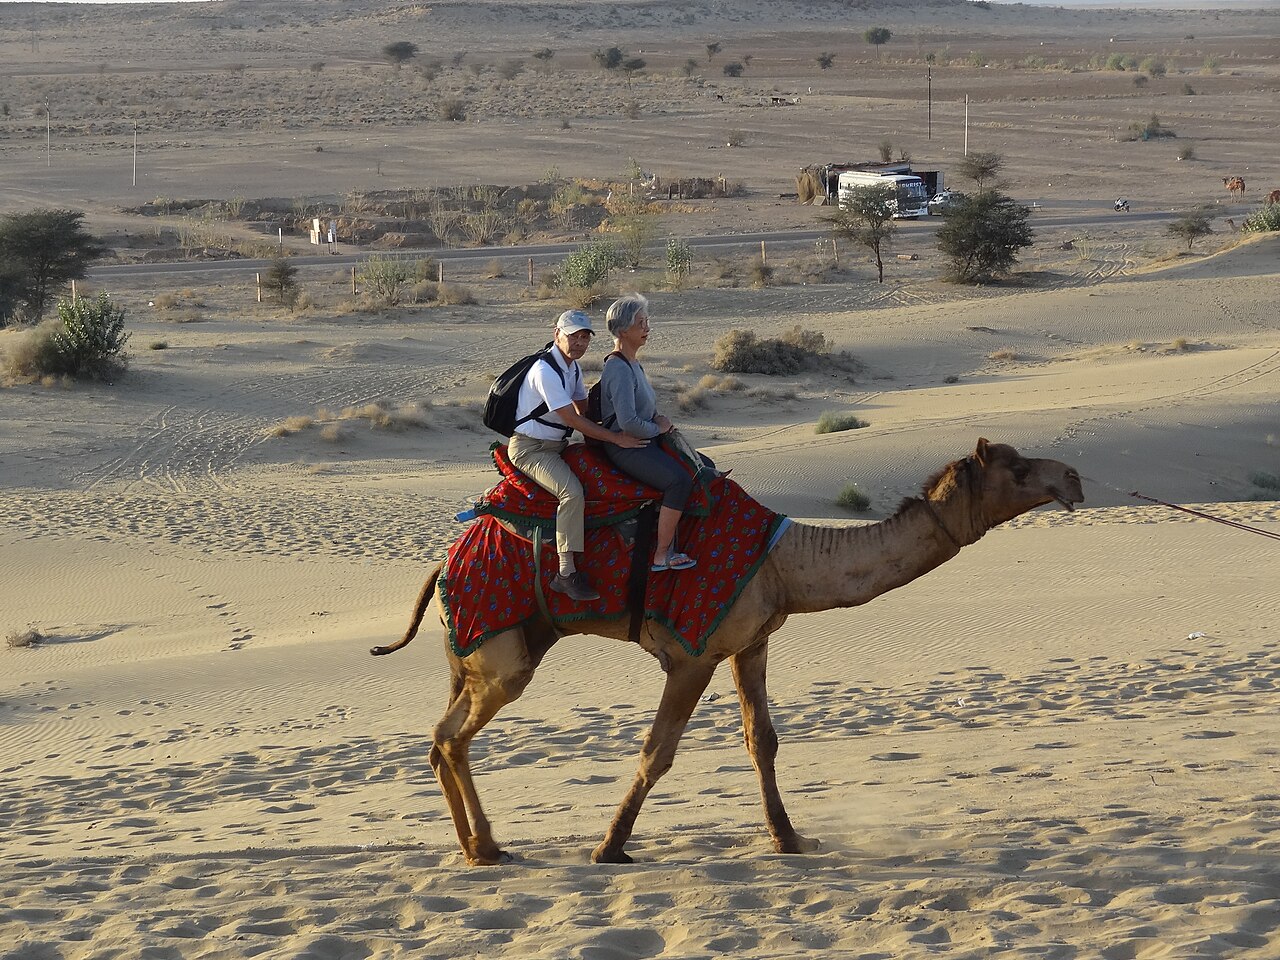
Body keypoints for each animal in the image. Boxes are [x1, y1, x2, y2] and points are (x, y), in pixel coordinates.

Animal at [373, 439, 1084, 866]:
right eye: (1018, 470)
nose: (1074, 478)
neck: (785, 562)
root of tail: (443, 563)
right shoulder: (693, 654)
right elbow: (657, 750)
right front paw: (610, 848)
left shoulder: (753, 642)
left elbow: (761, 740)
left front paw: (790, 837)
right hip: (501, 650)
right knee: (451, 735)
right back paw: (483, 848)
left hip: (484, 650)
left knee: (443, 736)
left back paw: (482, 846)